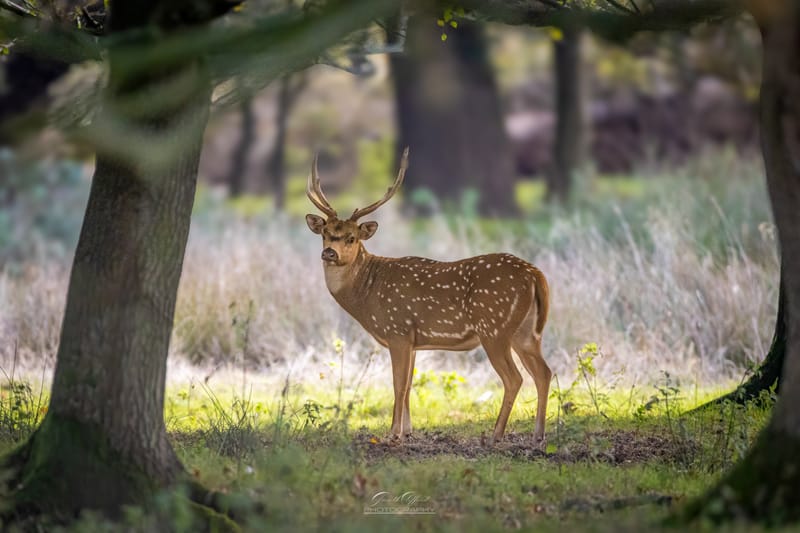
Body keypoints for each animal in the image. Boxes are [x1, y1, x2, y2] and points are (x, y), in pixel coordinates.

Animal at [305, 148, 552, 446]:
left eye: (351, 238)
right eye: (326, 234)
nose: (329, 253)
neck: (368, 293)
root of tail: (535, 274)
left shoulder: (397, 330)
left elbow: (398, 384)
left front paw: (393, 433)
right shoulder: (413, 340)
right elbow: (409, 384)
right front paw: (408, 430)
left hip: (494, 327)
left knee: (514, 378)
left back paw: (496, 434)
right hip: (526, 331)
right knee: (544, 372)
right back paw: (538, 434)